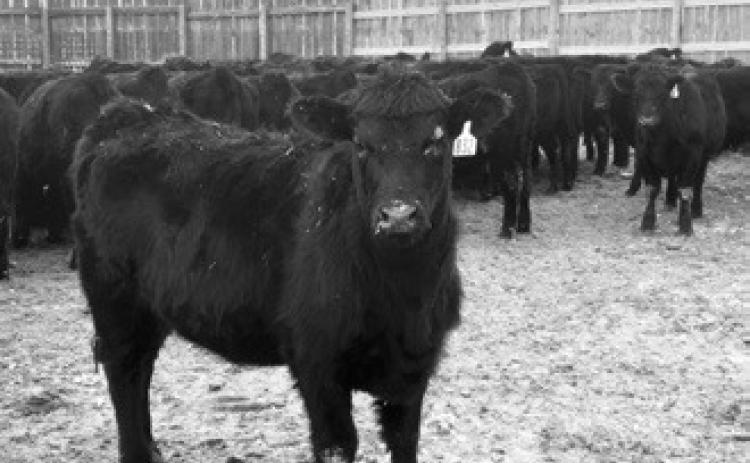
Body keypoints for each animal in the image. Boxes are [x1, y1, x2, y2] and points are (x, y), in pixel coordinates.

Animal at [72, 69, 466, 463]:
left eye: (436, 143)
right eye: (361, 144)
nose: (398, 216)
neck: (404, 296)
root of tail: (129, 117)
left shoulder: (415, 366)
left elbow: (405, 440)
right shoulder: (316, 360)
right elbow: (338, 445)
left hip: (149, 307)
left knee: (142, 367)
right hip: (114, 296)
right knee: (123, 368)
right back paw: (137, 451)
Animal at [611, 65, 726, 235]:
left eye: (662, 95)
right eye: (636, 95)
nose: (647, 119)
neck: (662, 138)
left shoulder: (693, 155)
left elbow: (685, 189)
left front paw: (685, 224)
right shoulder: (644, 154)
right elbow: (652, 189)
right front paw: (647, 222)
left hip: (704, 156)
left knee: (698, 182)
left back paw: (696, 209)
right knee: (673, 179)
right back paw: (670, 201)